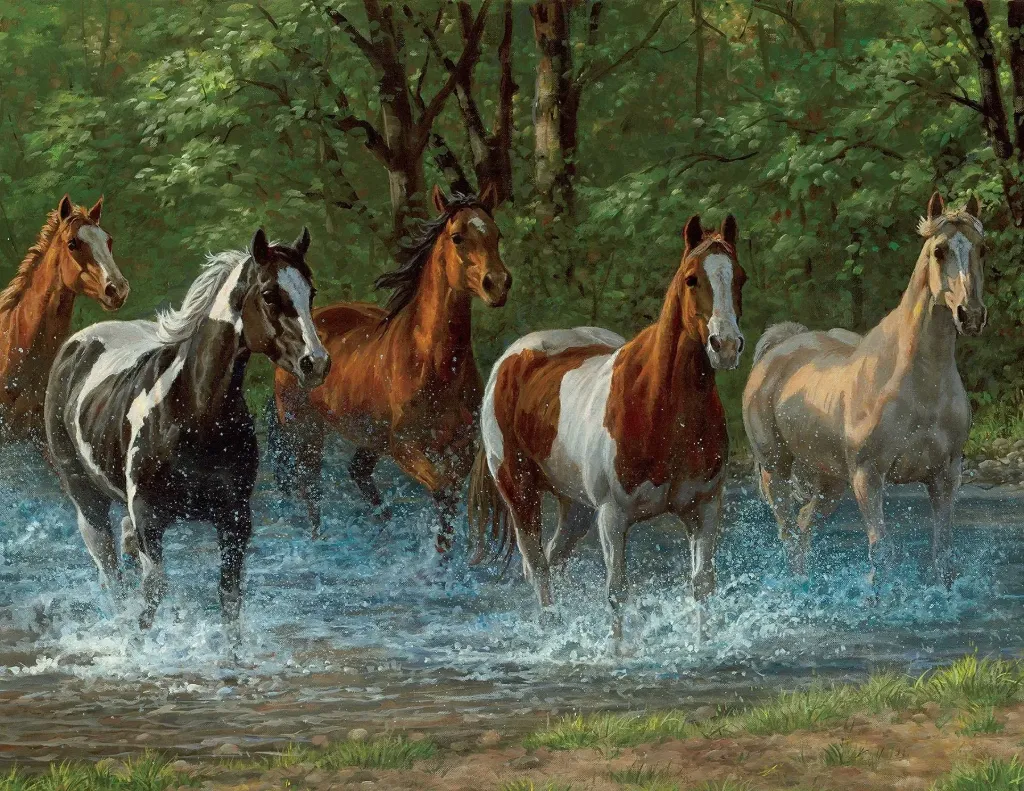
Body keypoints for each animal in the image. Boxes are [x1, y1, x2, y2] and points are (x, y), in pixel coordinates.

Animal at [45, 227, 329, 635]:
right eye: (270, 294)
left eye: (311, 292)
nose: (316, 364)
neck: (194, 414)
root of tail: (76, 345)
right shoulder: (149, 519)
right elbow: (153, 595)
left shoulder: (234, 520)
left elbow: (229, 596)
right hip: (88, 501)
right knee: (112, 575)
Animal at [272, 185, 511, 551]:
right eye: (457, 237)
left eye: (497, 235)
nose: (497, 284)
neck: (435, 365)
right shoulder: (405, 447)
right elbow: (442, 492)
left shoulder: (462, 446)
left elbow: (449, 500)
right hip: (306, 433)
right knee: (310, 490)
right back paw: (318, 540)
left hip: (369, 437)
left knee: (358, 473)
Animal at [468, 214, 746, 639]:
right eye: (691, 278)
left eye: (740, 278)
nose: (726, 345)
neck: (661, 410)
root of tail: (511, 359)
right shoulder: (613, 518)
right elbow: (616, 592)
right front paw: (619, 651)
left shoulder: (705, 509)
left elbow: (702, 585)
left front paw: (703, 644)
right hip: (520, 492)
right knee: (538, 568)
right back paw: (551, 632)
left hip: (576, 508)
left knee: (552, 559)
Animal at [742, 193, 986, 588]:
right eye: (939, 251)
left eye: (982, 248)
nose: (971, 315)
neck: (920, 383)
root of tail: (780, 347)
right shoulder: (868, 477)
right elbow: (881, 554)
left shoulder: (945, 476)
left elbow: (943, 557)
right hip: (775, 469)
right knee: (788, 535)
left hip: (829, 481)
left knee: (804, 525)